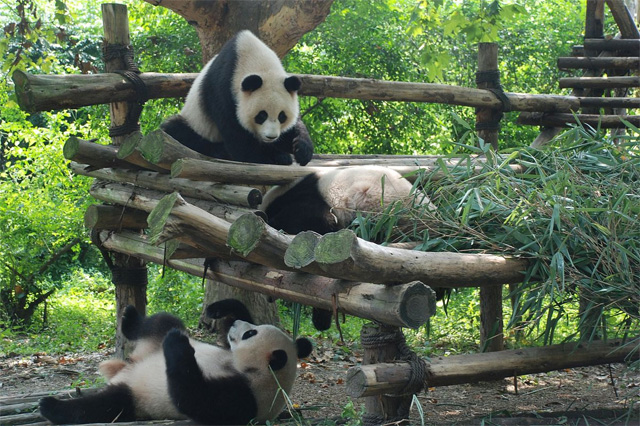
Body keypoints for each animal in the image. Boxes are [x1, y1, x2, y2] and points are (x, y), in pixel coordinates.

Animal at [38, 298, 314, 424]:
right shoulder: (228, 352)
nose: (237, 325)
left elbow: (191, 397)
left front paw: (178, 344)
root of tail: (126, 367)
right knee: (161, 321)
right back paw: (130, 318)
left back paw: (51, 406)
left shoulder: (246, 396)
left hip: (137, 398)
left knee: (104, 406)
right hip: (151, 342)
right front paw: (221, 309)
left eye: (250, 334)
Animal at [161, 29, 314, 166]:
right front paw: (262, 158)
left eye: (282, 116)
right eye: (261, 115)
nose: (271, 137)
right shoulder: (222, 88)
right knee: (175, 129)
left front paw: (301, 149)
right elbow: (235, 133)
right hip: (196, 123)